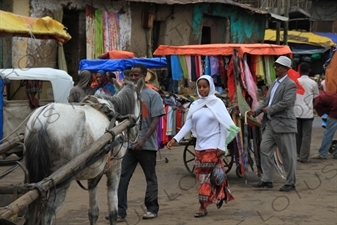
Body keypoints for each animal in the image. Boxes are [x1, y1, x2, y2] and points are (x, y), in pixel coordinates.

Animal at [22, 79, 143, 225]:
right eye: (140, 101)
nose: (136, 134)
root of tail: (43, 120)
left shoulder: (94, 173)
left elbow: (93, 212)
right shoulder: (114, 168)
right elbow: (113, 213)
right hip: (60, 181)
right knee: (48, 216)